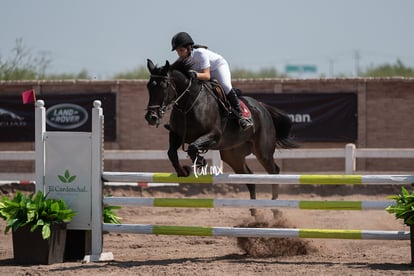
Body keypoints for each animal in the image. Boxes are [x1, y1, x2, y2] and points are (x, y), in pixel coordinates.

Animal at [144, 58, 296, 216]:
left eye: (164, 85)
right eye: (149, 86)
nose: (151, 117)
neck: (188, 105)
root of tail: (263, 107)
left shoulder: (213, 136)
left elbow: (193, 147)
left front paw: (200, 161)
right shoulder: (177, 135)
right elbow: (172, 153)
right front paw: (183, 170)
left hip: (263, 151)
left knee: (274, 172)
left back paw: (276, 209)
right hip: (233, 155)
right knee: (249, 177)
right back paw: (254, 211)